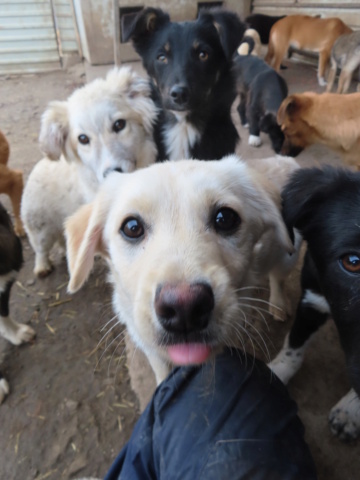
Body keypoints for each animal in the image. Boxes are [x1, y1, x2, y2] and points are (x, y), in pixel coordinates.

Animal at [21, 67, 157, 278]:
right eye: (83, 139)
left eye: (119, 124)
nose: (111, 173)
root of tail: (37, 167)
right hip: (40, 229)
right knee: (41, 250)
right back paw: (42, 267)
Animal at [66, 156, 300, 384]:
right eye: (132, 227)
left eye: (225, 218)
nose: (184, 309)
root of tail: (286, 159)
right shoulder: (150, 347)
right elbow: (162, 374)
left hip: (288, 254)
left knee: (277, 277)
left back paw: (278, 304)